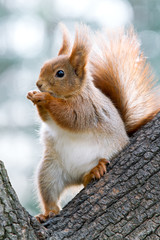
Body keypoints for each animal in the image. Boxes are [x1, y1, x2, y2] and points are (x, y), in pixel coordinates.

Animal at [26, 23, 159, 222]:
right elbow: (47, 118)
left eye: (60, 73)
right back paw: (48, 213)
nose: (39, 84)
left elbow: (69, 117)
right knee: (50, 194)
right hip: (49, 172)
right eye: (43, 67)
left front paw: (45, 98)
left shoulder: (86, 108)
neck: (73, 94)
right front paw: (34, 96)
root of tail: (74, 175)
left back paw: (94, 171)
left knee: (85, 179)